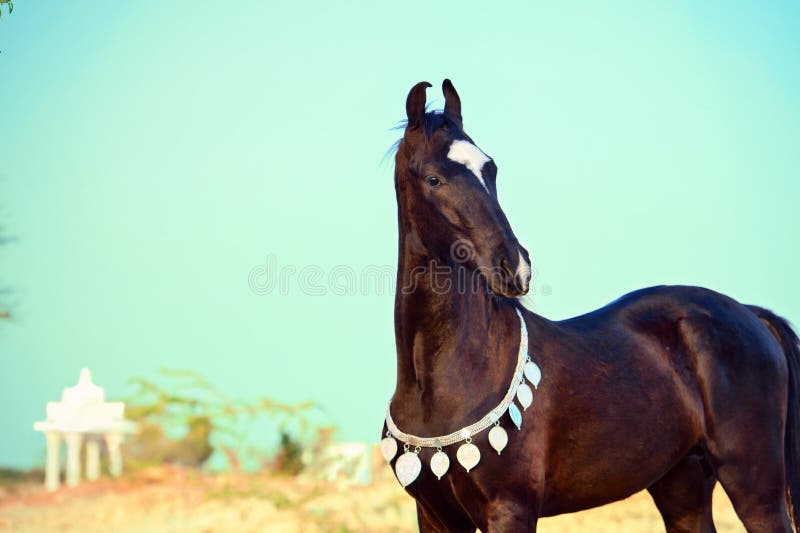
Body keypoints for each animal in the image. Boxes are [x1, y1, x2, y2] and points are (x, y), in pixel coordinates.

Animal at [382, 80, 800, 532]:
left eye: (490, 169)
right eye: (433, 178)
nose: (515, 266)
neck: (440, 385)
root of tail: (751, 314)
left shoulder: (511, 508)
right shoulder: (435, 516)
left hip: (755, 488)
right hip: (682, 485)